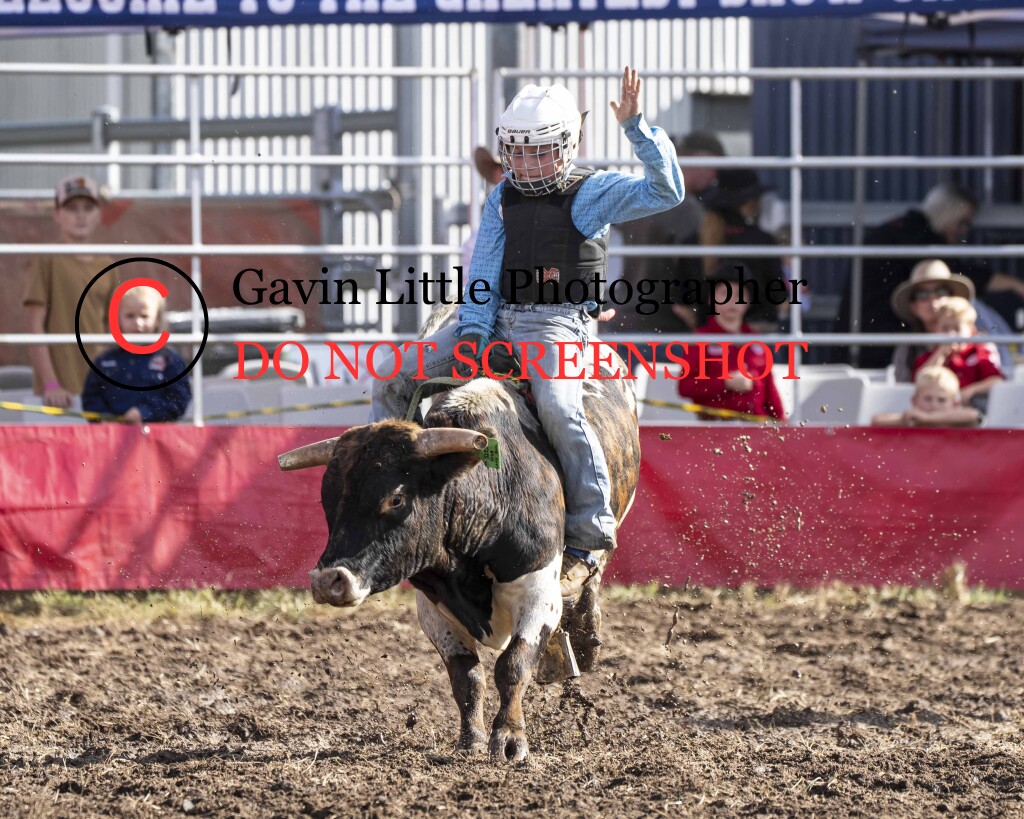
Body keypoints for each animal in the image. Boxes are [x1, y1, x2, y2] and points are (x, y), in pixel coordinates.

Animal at [278, 326, 641, 763]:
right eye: (327, 500)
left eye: (396, 498)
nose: (328, 580)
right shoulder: (432, 604)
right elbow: (466, 676)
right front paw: (471, 740)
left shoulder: (538, 588)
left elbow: (513, 665)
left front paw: (509, 740)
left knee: (590, 579)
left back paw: (584, 637)